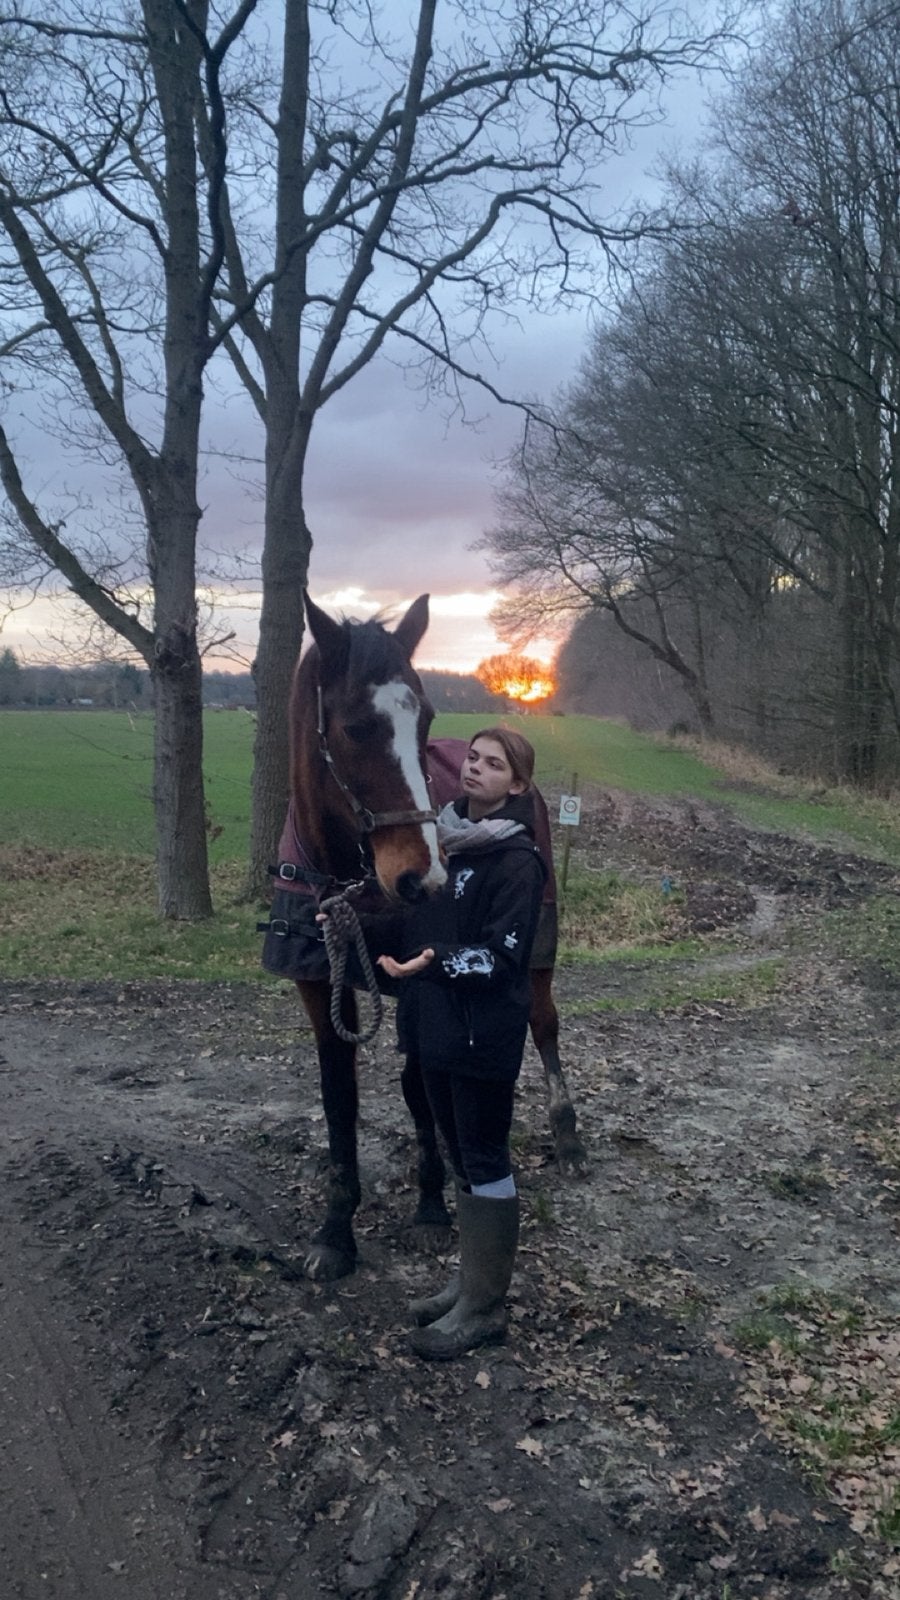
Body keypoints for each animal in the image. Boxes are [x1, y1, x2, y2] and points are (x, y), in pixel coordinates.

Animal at [260, 592, 585, 1282]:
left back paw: (566, 1132)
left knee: (543, 1024)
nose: (423, 876)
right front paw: (337, 1229)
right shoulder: (318, 982)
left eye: (426, 719)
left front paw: (433, 1206)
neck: (344, 876)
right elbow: (340, 1096)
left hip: (539, 938)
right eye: (356, 727)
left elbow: (418, 1088)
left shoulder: (418, 975)